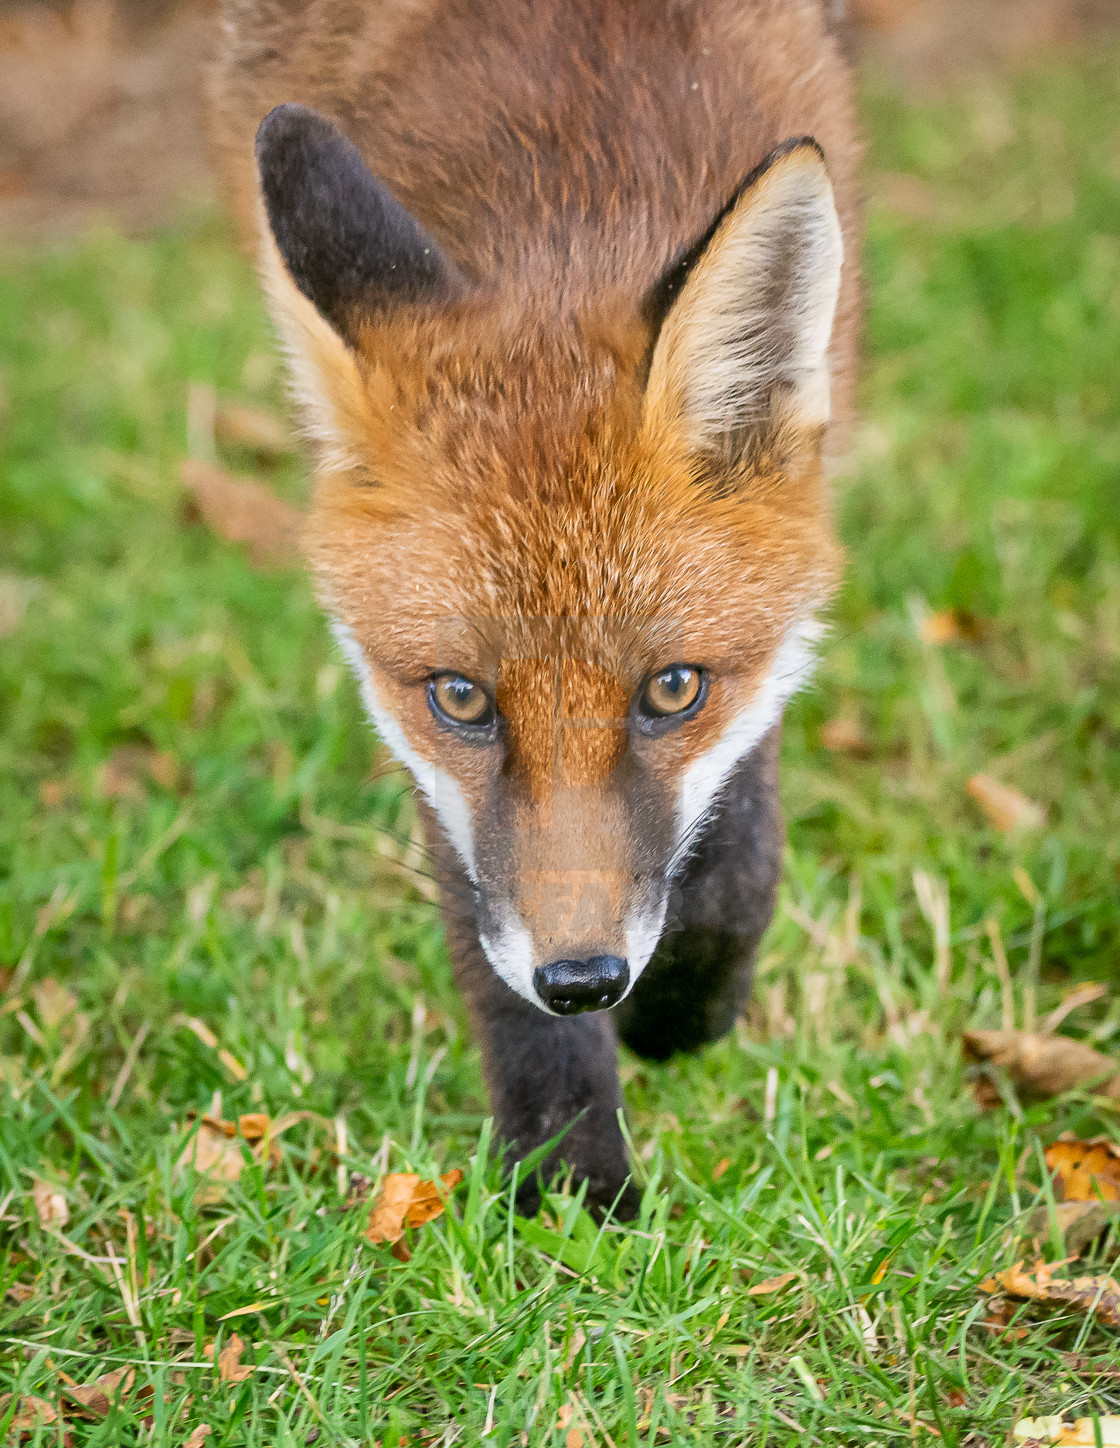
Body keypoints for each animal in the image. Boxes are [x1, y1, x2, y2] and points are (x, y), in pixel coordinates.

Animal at [210, 0, 857, 1216]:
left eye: (672, 689)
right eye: (463, 698)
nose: (585, 980)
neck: (570, 175)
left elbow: (743, 833)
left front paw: (689, 1005)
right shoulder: (421, 744)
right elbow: (484, 928)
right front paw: (569, 1180)